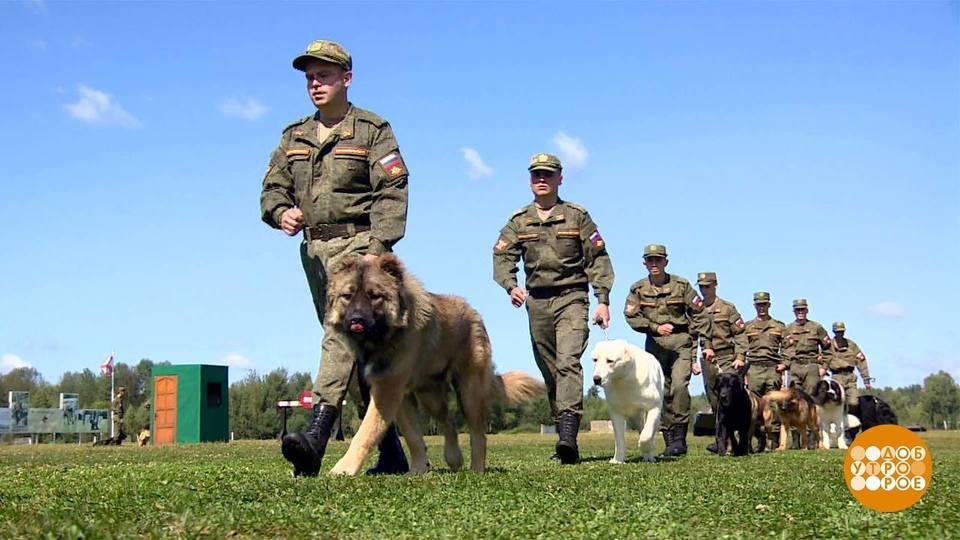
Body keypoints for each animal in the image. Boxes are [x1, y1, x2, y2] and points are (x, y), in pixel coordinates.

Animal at [326, 255, 544, 474]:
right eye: (347, 296)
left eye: (374, 296)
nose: (356, 319)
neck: (384, 338)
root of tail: (474, 314)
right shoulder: (401, 396)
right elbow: (413, 436)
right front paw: (417, 470)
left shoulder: (388, 389)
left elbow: (365, 433)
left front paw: (343, 469)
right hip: (429, 395)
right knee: (448, 420)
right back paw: (454, 458)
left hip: (469, 393)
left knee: (478, 435)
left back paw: (476, 468)